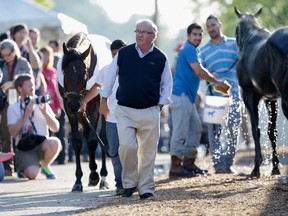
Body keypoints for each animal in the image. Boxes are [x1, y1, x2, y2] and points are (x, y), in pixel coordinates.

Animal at [58, 31, 112, 191]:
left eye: (84, 74)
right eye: (65, 73)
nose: (74, 104)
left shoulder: (94, 105)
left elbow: (94, 140)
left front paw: (95, 175)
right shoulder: (68, 106)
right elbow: (77, 141)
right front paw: (78, 181)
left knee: (102, 138)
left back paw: (103, 177)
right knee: (87, 133)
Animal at [234, 8, 288, 177]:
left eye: (237, 30)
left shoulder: (249, 96)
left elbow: (255, 130)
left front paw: (256, 168)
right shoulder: (270, 99)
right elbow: (272, 132)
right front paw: (275, 168)